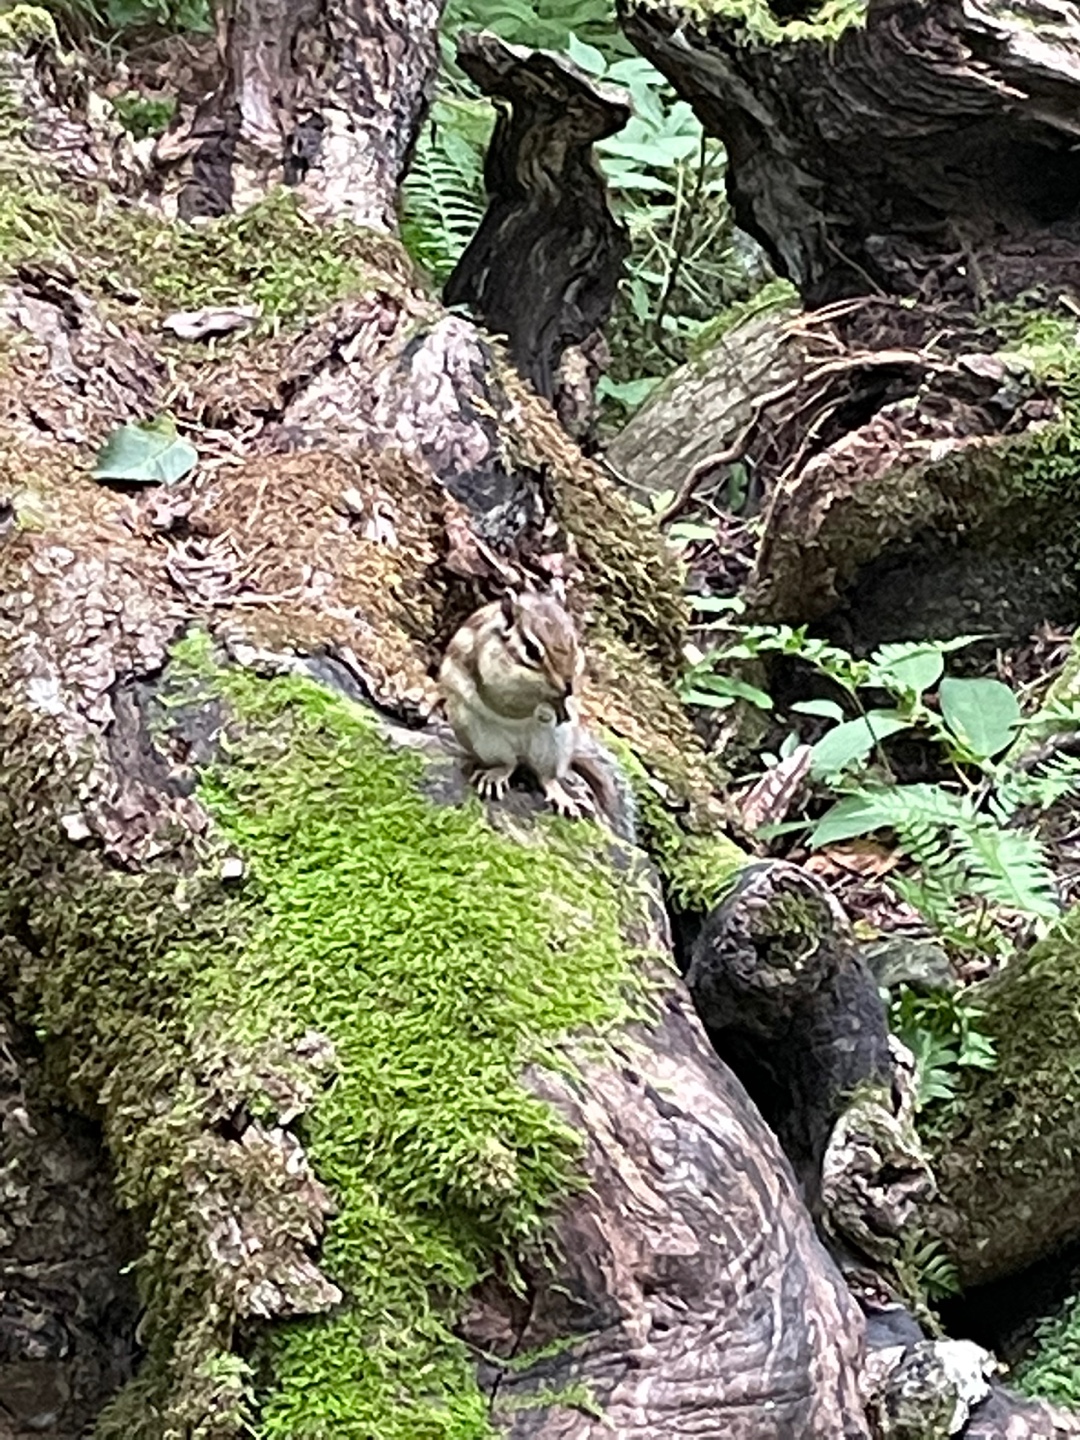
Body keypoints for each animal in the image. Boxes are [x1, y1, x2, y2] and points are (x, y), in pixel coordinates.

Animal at [437, 590, 636, 842]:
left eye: (575, 643)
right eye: (532, 650)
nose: (567, 687)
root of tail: (522, 754)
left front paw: (563, 703)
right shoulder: (494, 676)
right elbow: (509, 698)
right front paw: (547, 704)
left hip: (556, 747)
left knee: (545, 777)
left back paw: (562, 797)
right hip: (481, 739)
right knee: (508, 765)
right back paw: (495, 775)